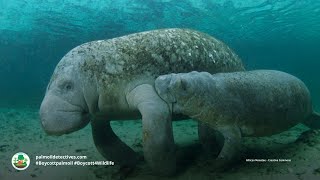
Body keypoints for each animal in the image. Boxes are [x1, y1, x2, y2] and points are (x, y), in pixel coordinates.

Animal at [39, 28, 245, 176]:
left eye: (67, 86)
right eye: (48, 85)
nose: (46, 121)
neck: (101, 71)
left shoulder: (145, 89)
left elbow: (155, 131)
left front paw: (166, 171)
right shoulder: (99, 110)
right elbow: (102, 140)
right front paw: (133, 160)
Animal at [155, 69, 320, 167]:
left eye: (182, 85)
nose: (159, 78)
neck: (210, 91)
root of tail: (311, 109)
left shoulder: (232, 126)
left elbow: (231, 147)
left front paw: (214, 165)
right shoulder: (206, 118)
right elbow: (206, 134)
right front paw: (211, 152)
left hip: (308, 110)